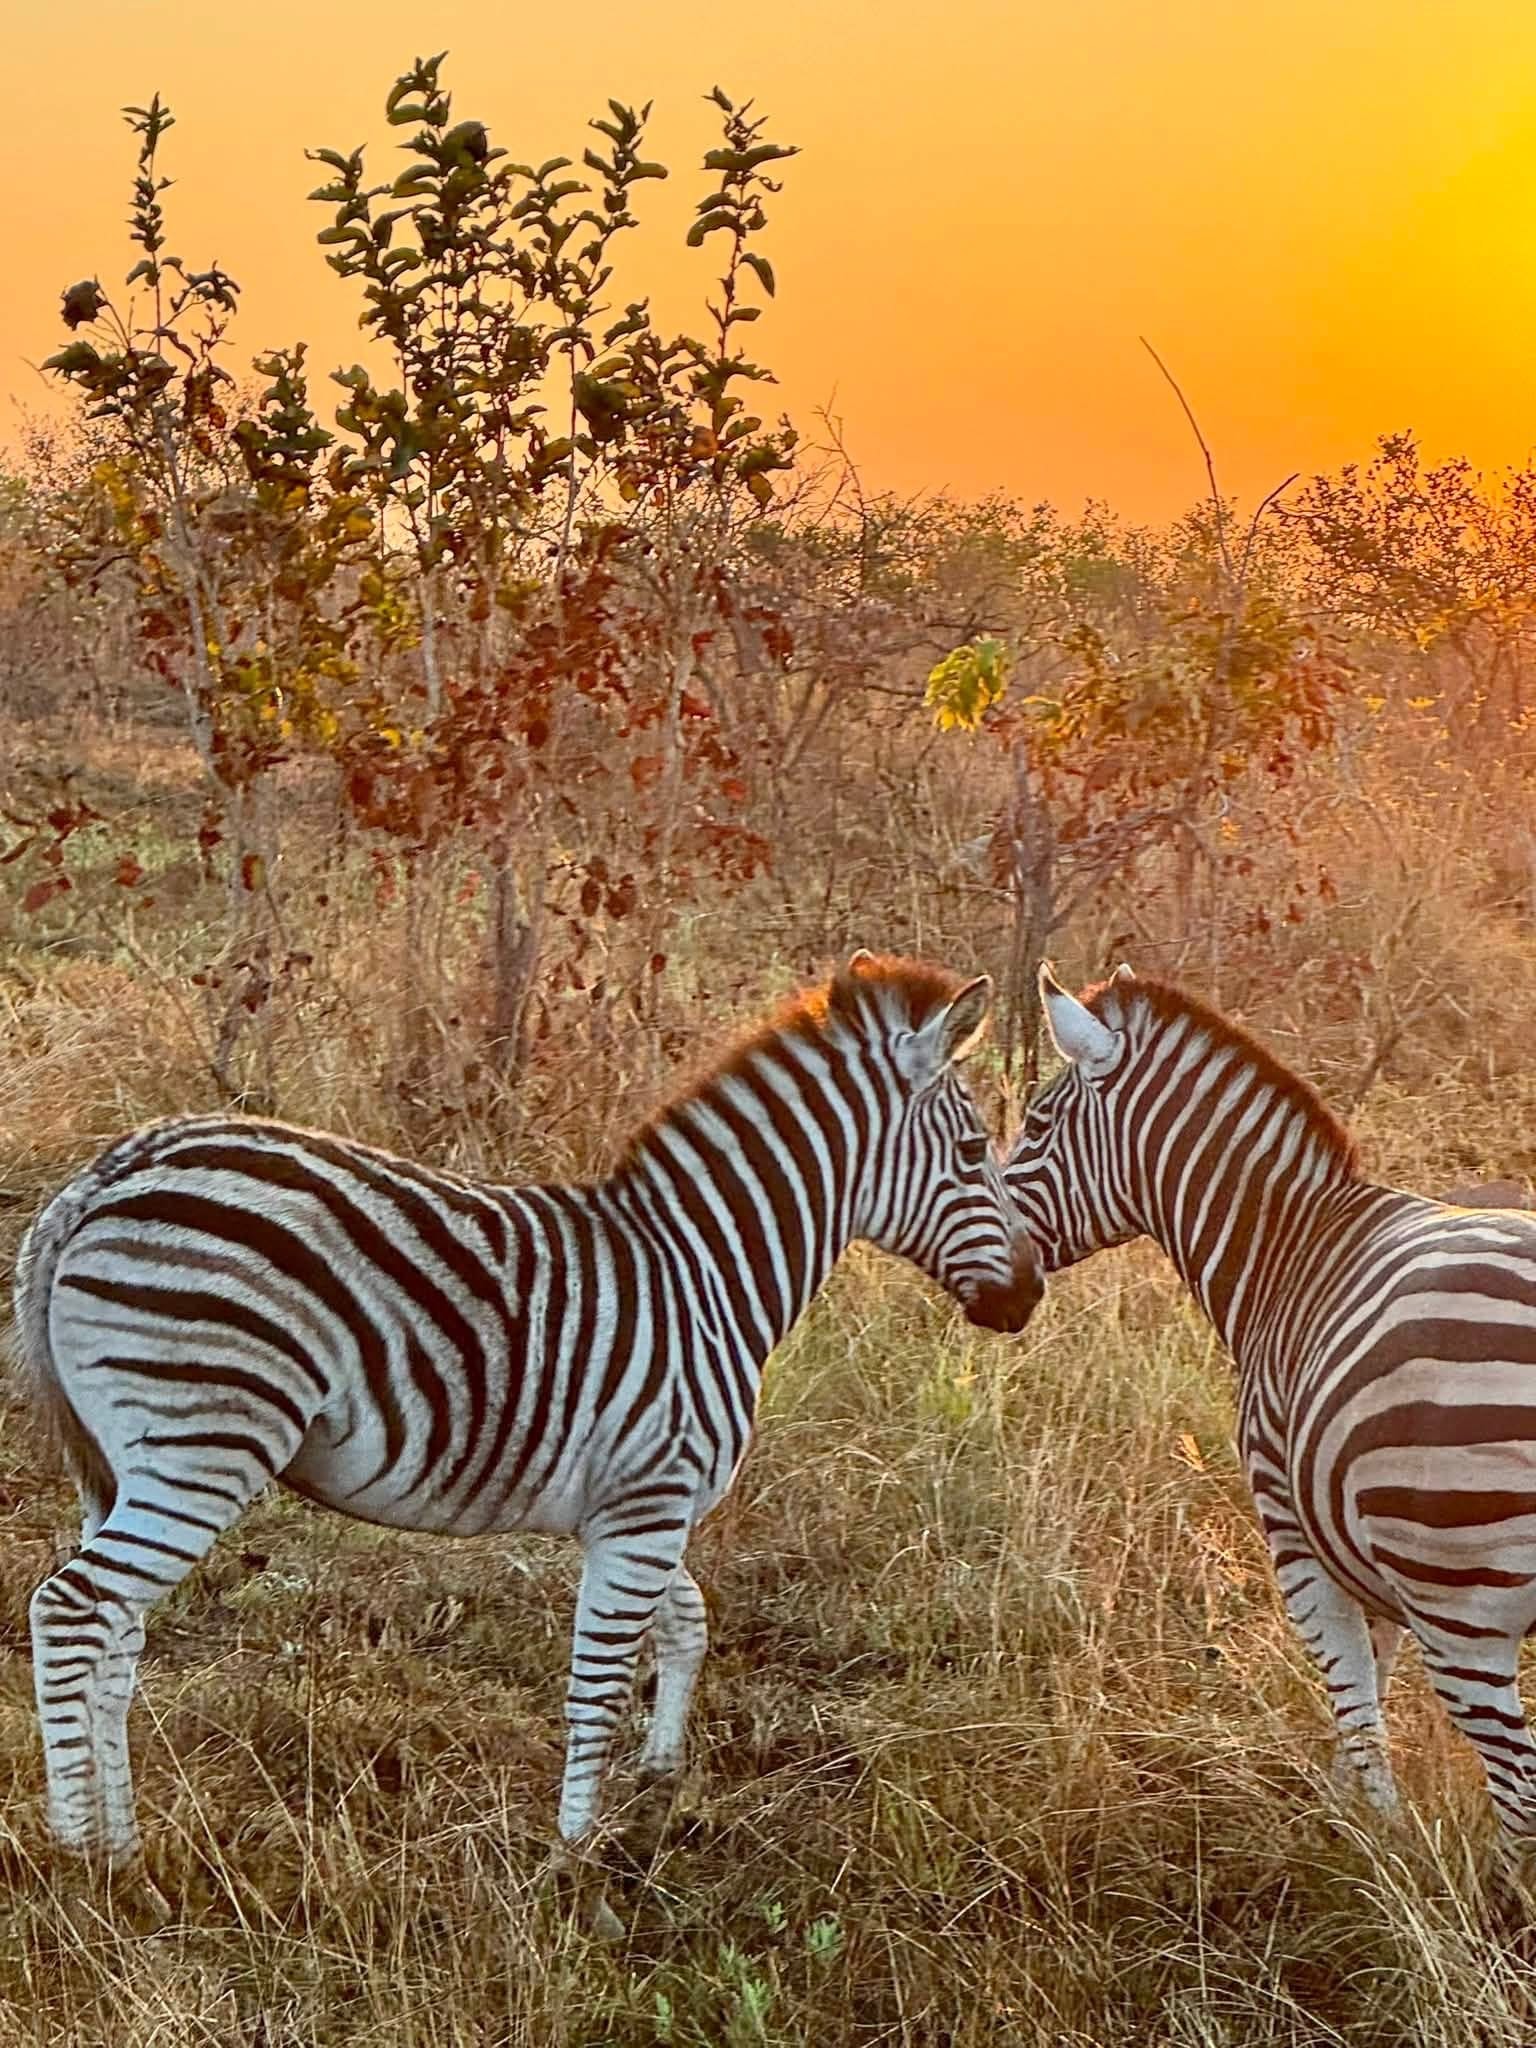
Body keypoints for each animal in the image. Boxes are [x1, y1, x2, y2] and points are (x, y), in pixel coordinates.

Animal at [17, 951, 1041, 1927]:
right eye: (973, 1148)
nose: (1028, 1299)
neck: (707, 1273)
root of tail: (102, 1177)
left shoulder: (641, 1507)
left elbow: (689, 1622)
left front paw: (657, 1793)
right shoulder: (648, 1501)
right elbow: (599, 1683)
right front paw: (575, 1867)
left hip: (126, 1460)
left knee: (116, 1636)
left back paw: (127, 1858)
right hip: (205, 1442)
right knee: (73, 1610)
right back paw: (79, 1864)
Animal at [1005, 960, 1536, 1879]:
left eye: (1037, 1123)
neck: (1286, 1250)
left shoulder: (1294, 1528)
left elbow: (1354, 1699)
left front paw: (1373, 1851)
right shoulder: (1362, 1550)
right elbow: (1368, 1686)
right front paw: (1346, 1821)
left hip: (1464, 1610)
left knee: (1521, 1798)